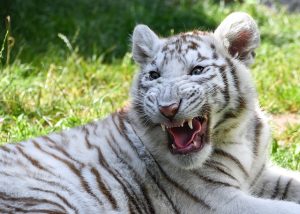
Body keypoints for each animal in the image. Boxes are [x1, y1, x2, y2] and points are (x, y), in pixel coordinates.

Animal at [0, 11, 300, 214]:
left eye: (197, 70)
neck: (238, 134)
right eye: (154, 75)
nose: (167, 108)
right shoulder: (217, 200)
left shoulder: (259, 175)